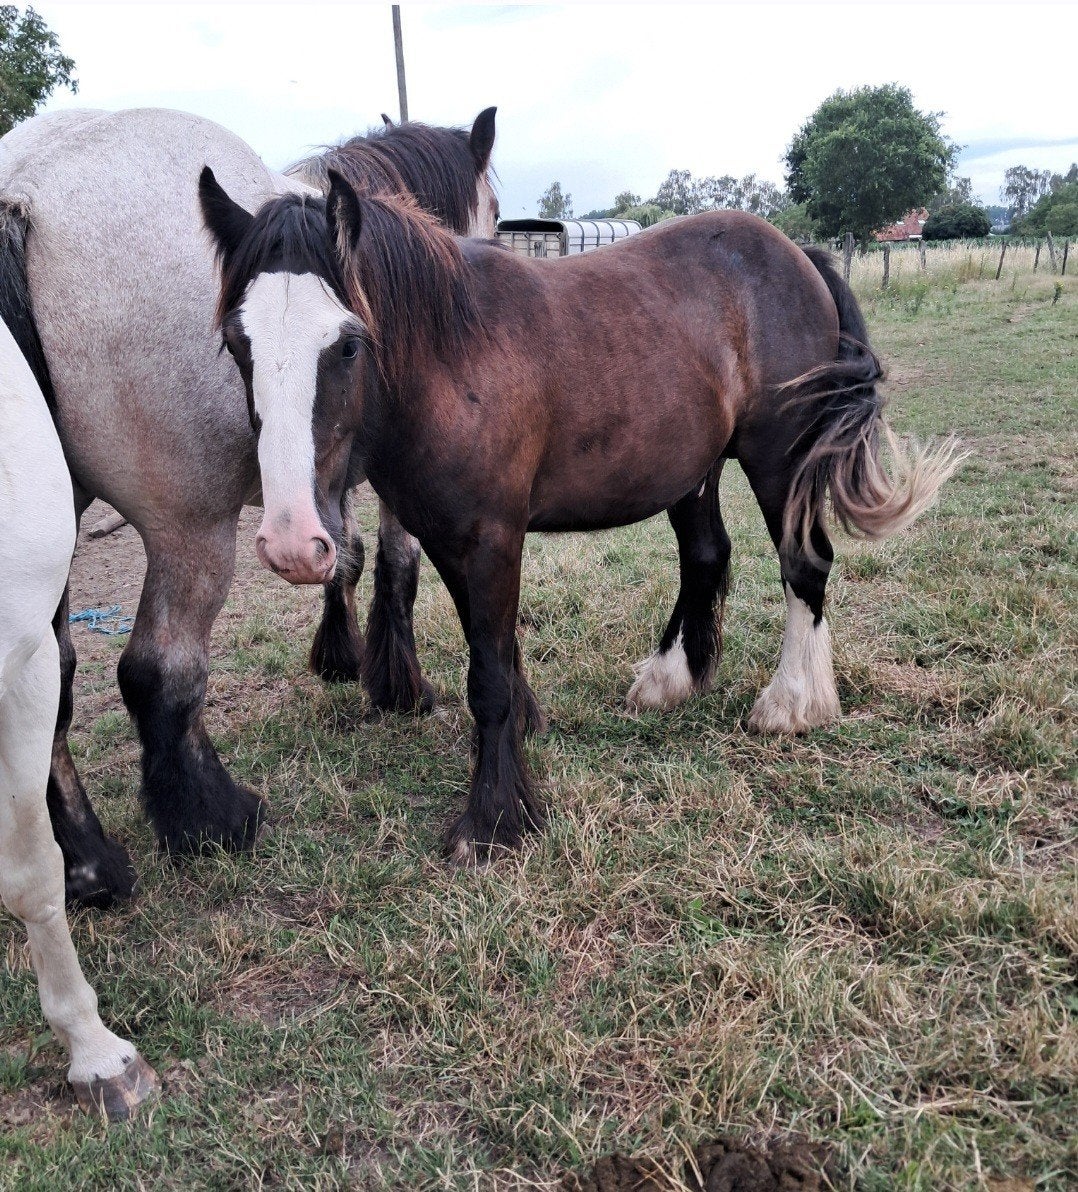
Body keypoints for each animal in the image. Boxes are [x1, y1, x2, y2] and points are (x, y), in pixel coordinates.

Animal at [0, 105, 497, 906]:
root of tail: (23, 186)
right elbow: (395, 560)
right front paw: (399, 685)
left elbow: (343, 553)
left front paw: (340, 657)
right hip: (191, 529)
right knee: (158, 668)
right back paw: (212, 819)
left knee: (48, 682)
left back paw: (87, 862)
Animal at [201, 172, 963, 864]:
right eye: (238, 344)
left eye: (347, 344)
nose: (291, 543)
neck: (449, 357)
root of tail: (796, 254)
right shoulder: (451, 541)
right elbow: (495, 650)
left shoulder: (493, 537)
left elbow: (488, 676)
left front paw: (494, 820)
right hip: (692, 469)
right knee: (707, 554)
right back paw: (672, 679)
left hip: (782, 460)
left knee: (804, 563)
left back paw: (791, 703)